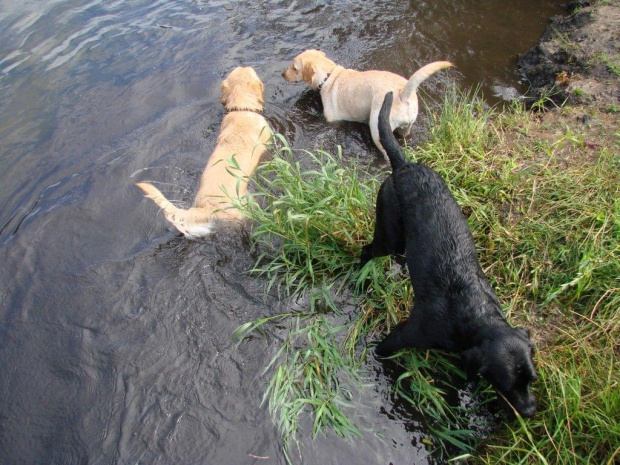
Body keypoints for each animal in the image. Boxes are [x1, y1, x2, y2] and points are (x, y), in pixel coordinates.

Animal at [282, 49, 450, 160]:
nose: (282, 74)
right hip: (406, 127)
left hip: (377, 128)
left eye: (294, 68)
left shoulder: (331, 119)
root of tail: (402, 93)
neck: (329, 76)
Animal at [358, 90, 536, 416]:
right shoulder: (405, 334)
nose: (530, 411)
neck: (473, 316)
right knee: (367, 251)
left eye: (531, 379)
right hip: (387, 237)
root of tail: (404, 166)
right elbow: (383, 350)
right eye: (505, 384)